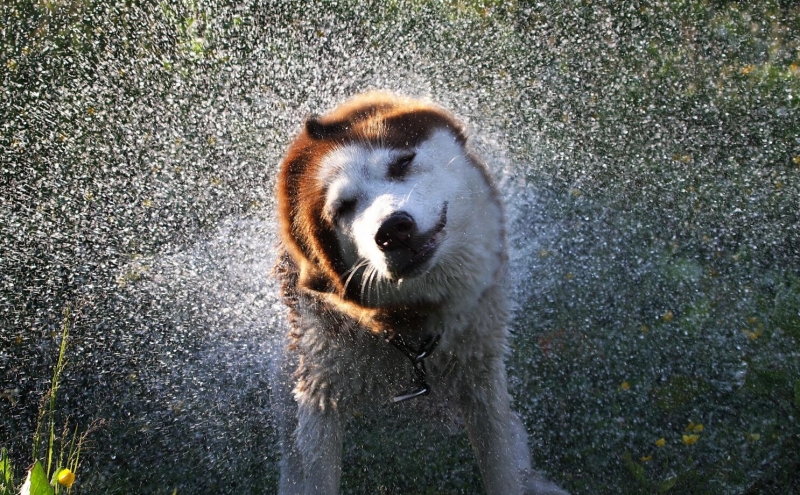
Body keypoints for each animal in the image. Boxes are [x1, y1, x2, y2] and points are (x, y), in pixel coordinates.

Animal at [276, 93, 568, 495]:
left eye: (402, 163)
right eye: (343, 207)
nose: (393, 230)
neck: (413, 327)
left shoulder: (480, 368)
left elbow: (501, 465)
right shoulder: (322, 389)